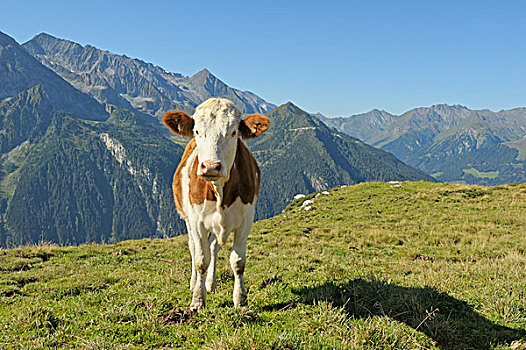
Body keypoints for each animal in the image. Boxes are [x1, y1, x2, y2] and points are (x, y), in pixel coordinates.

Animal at [164, 97, 272, 308]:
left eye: (234, 132)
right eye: (197, 131)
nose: (211, 166)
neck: (221, 191)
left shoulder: (245, 221)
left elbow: (237, 261)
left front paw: (240, 300)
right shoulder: (196, 221)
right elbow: (201, 260)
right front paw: (198, 300)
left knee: (213, 247)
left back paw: (210, 284)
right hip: (188, 220)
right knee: (193, 247)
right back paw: (194, 283)